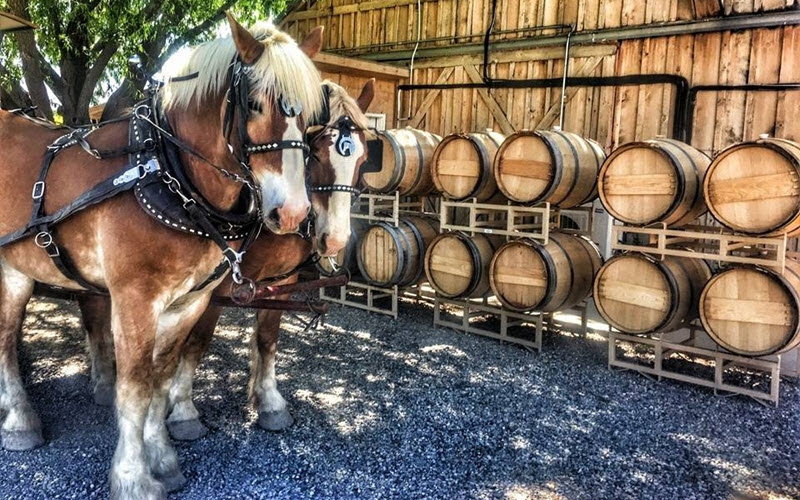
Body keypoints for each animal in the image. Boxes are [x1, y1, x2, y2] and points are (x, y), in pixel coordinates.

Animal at [0, 15, 324, 500]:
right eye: (253, 104)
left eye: (308, 112)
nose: (292, 213)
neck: (168, 173)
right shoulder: (135, 300)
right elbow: (134, 389)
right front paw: (133, 477)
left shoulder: (188, 303)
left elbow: (161, 378)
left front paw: (163, 459)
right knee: (5, 342)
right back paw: (20, 421)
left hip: (18, 268)